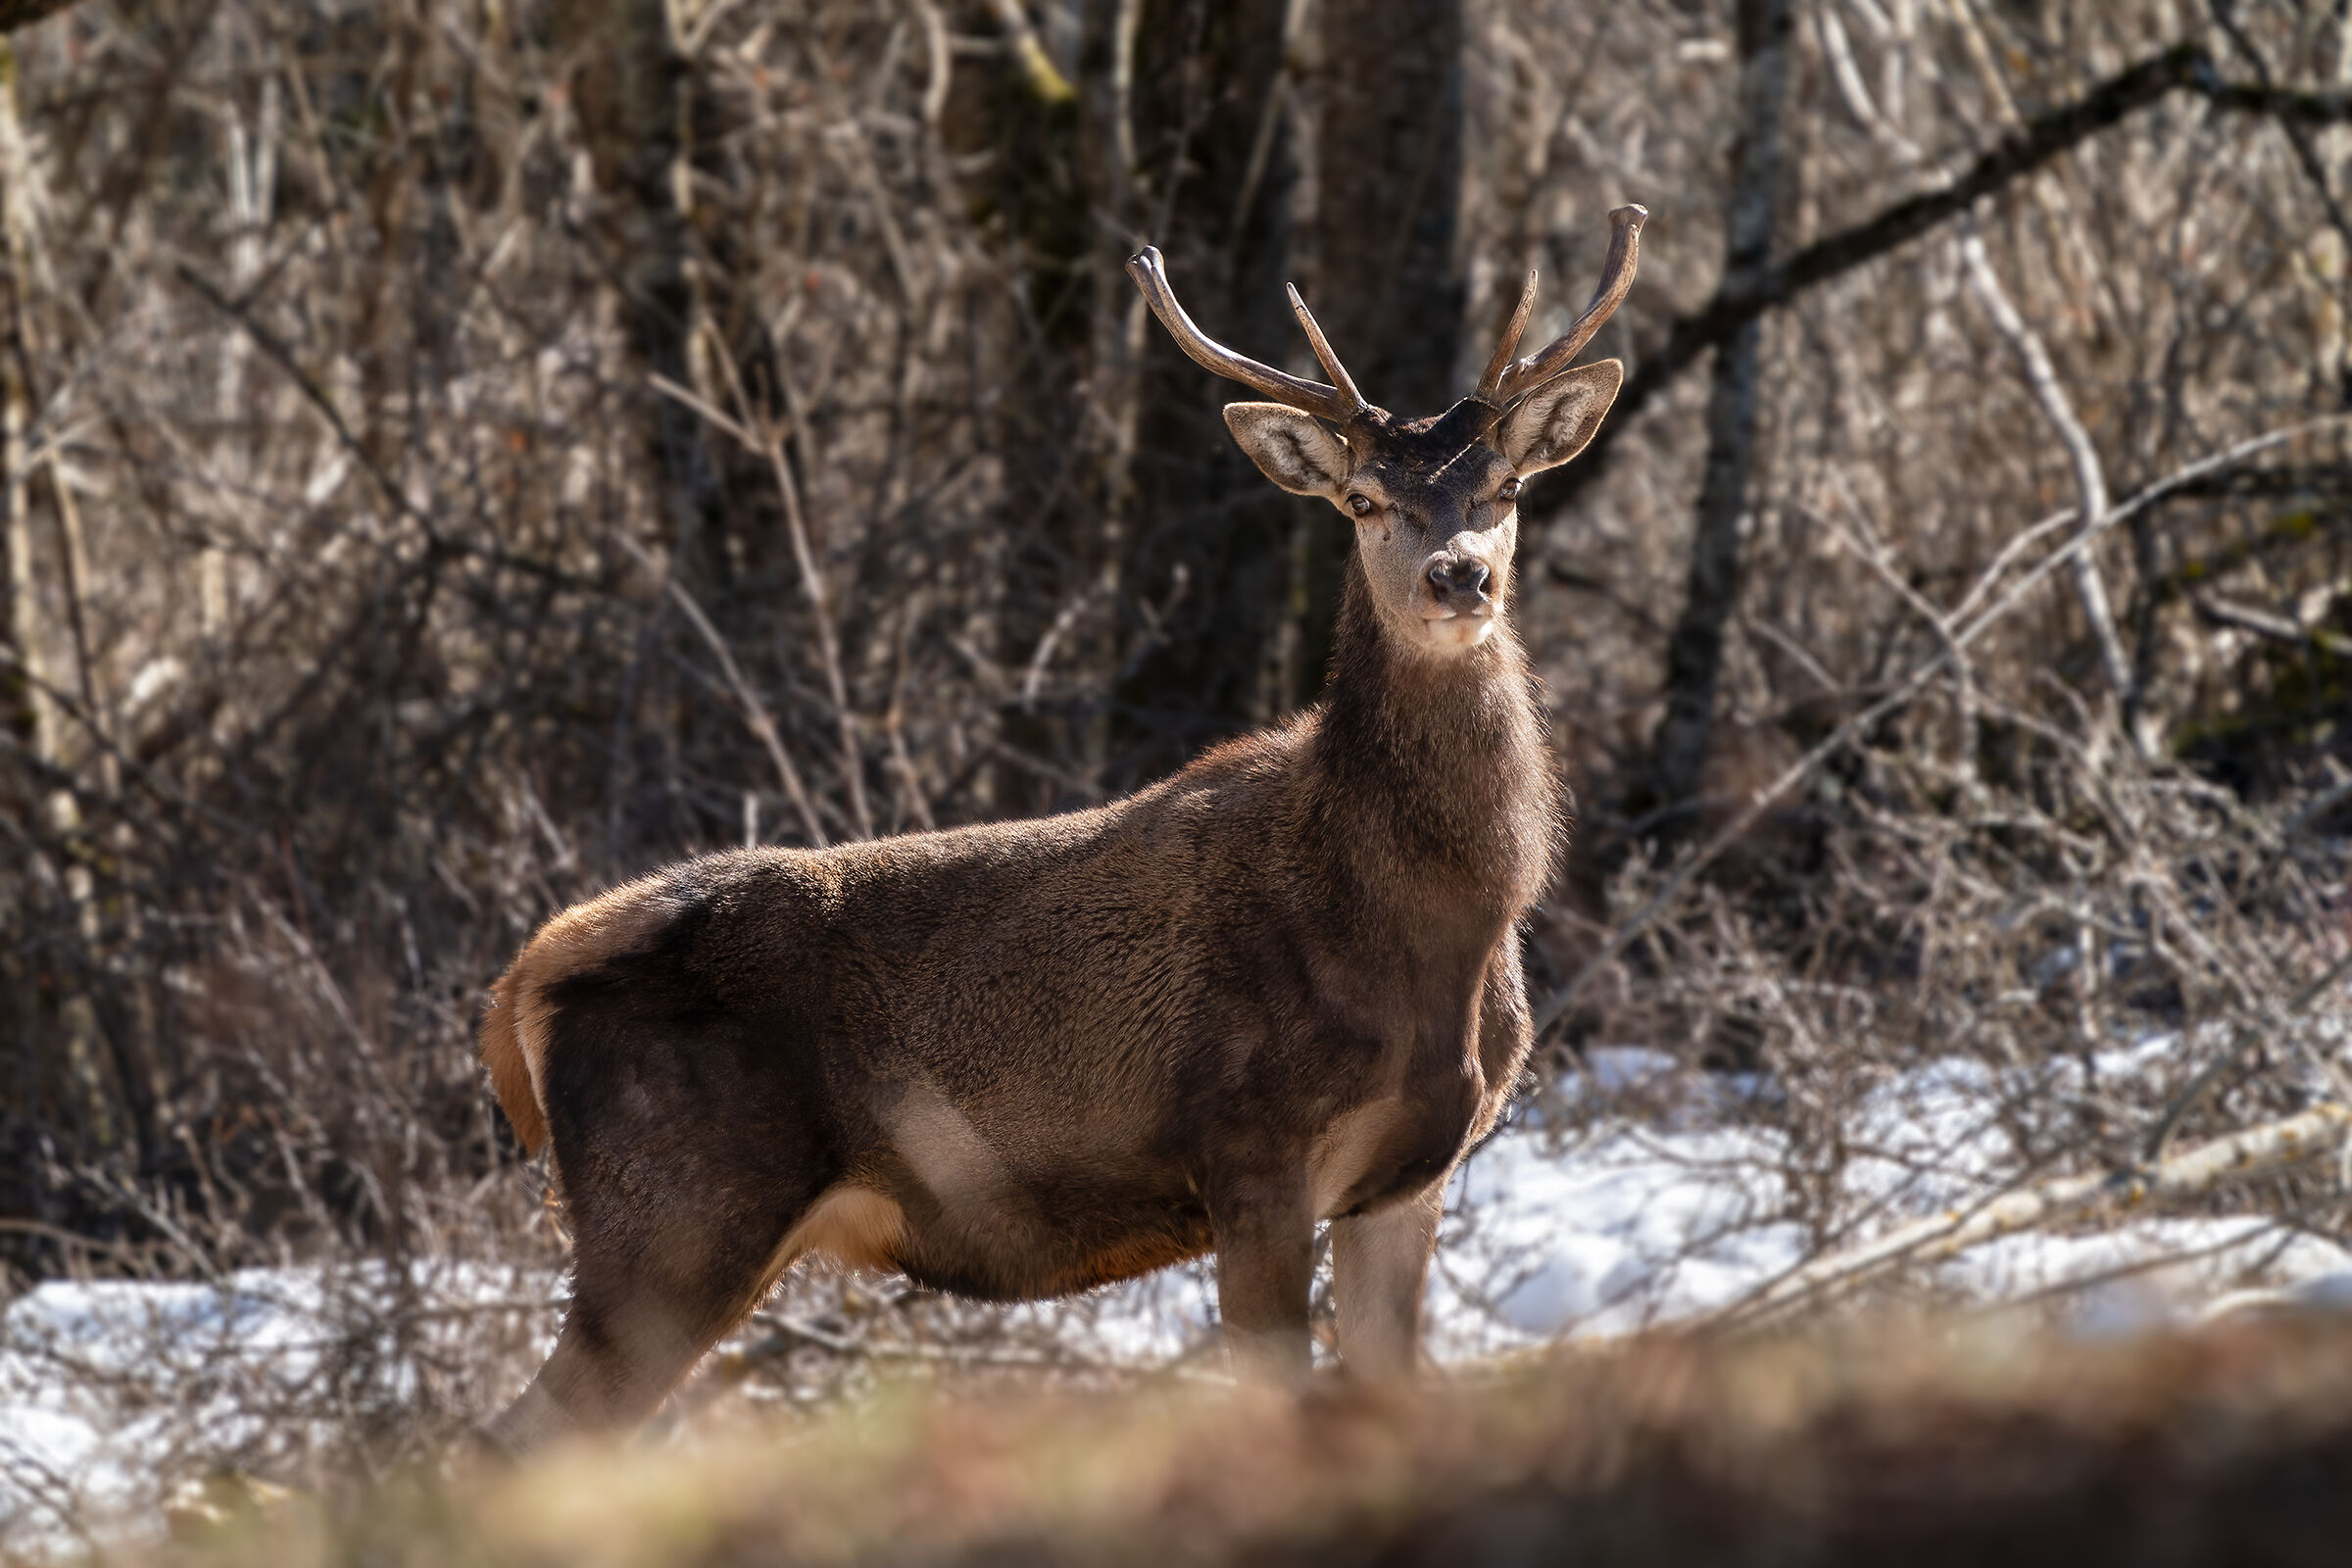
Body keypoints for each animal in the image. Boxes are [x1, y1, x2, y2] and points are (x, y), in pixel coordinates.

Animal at [476, 205, 1645, 1454]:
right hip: (674, 1209)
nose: (1456, 576)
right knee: (507, 1439)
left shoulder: (1408, 1179)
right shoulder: (1250, 1145)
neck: (1434, 929)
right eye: (1366, 499)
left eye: (1505, 487)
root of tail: (525, 980)